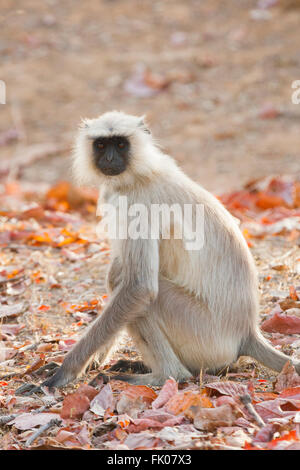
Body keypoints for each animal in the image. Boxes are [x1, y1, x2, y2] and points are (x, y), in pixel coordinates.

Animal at [41, 111, 298, 390]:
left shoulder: (138, 203)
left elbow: (139, 287)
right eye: (101, 144)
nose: (109, 159)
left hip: (204, 333)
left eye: (120, 144)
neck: (137, 174)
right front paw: (92, 362)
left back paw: (165, 375)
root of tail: (247, 333)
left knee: (142, 292)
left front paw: (65, 372)